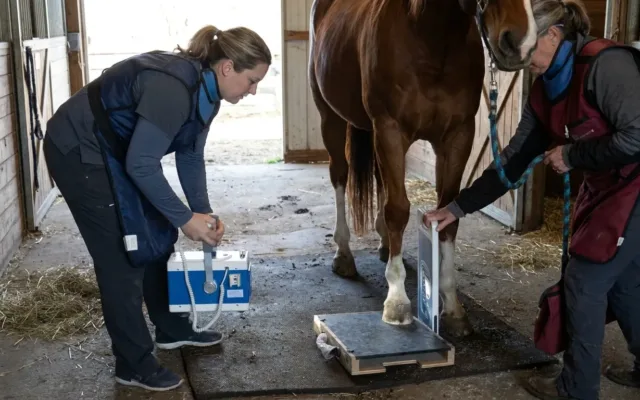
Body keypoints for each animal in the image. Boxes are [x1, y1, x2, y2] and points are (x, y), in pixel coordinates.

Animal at [308, 0, 537, 337]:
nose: (520, 41)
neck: (432, 37)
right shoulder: (390, 130)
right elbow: (398, 210)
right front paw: (397, 302)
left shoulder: (458, 136)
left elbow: (448, 214)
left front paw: (452, 307)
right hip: (331, 118)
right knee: (340, 176)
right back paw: (344, 255)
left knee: (379, 180)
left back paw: (384, 243)